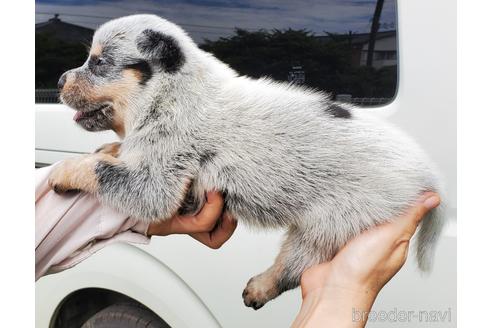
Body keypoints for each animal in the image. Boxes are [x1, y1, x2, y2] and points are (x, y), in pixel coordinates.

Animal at [51, 14, 446, 310]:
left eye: (99, 63)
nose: (58, 80)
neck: (172, 95)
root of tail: (427, 173)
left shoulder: (158, 178)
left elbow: (102, 172)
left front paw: (63, 171)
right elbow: (116, 153)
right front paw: (110, 149)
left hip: (335, 220)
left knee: (297, 265)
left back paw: (259, 288)